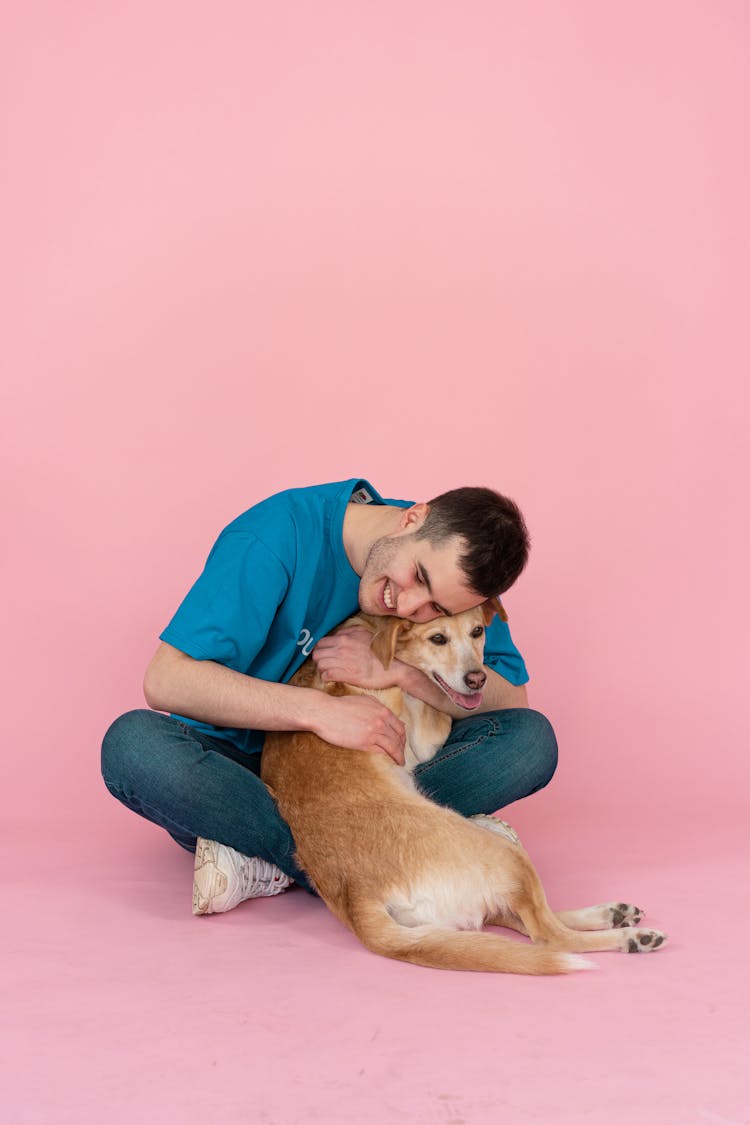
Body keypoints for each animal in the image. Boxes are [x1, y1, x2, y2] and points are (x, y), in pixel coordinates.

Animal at [259, 598, 670, 976]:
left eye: (477, 632)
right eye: (437, 638)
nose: (478, 679)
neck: (379, 636)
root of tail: (357, 896)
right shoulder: (421, 735)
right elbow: (436, 711)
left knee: (516, 919)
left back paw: (612, 915)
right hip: (506, 855)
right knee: (548, 936)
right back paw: (628, 937)